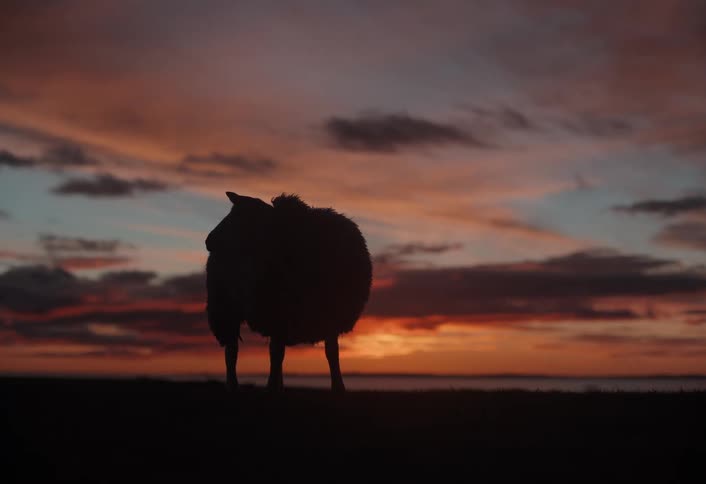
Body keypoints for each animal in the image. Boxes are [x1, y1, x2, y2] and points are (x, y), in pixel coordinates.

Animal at [205, 191, 373, 392]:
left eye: (239, 215)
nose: (208, 241)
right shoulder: (277, 313)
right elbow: (276, 354)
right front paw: (271, 387)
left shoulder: (331, 317)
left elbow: (332, 353)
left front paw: (338, 387)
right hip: (225, 309)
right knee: (232, 351)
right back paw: (234, 385)